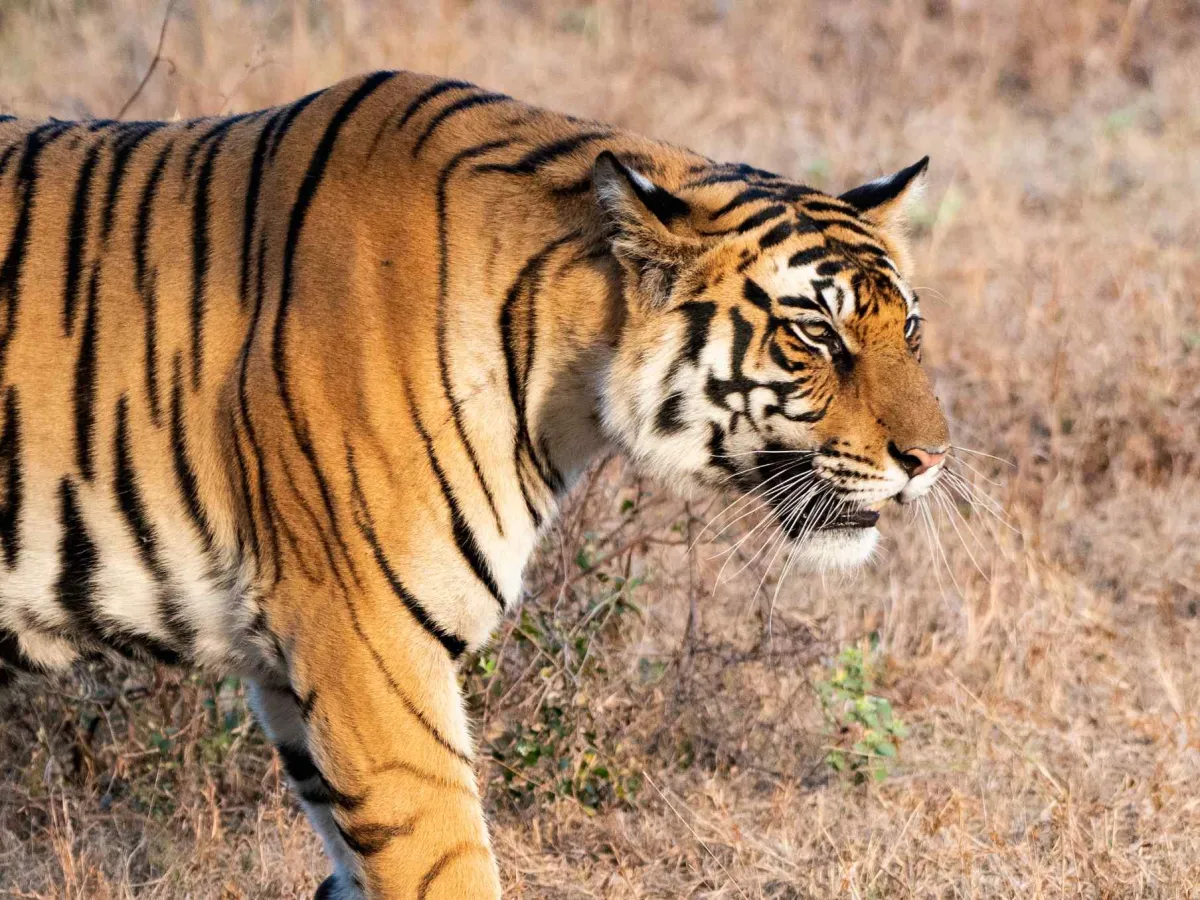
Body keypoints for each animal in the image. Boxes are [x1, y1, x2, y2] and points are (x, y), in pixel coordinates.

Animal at [0, 70, 950, 898]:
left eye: (908, 328)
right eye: (816, 335)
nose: (933, 458)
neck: (567, 377)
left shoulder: (294, 673)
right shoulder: (366, 647)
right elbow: (447, 867)